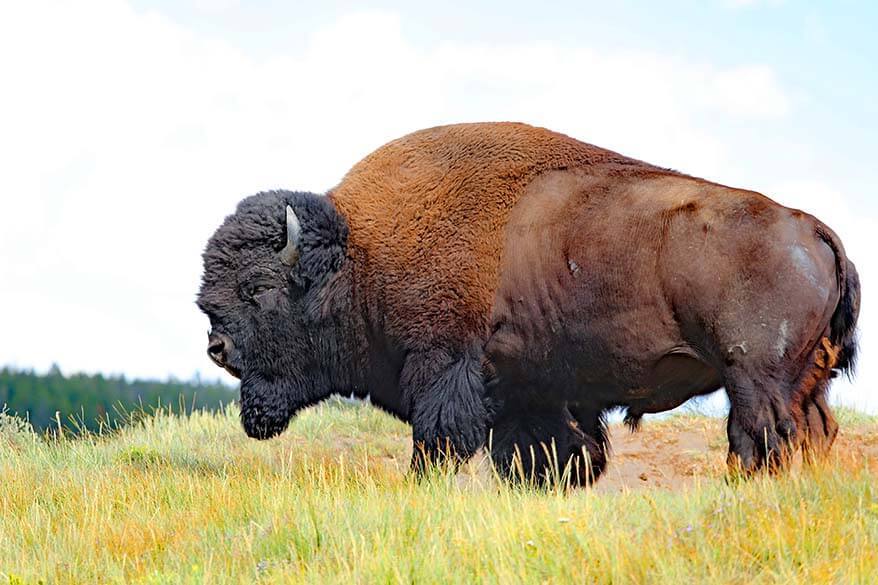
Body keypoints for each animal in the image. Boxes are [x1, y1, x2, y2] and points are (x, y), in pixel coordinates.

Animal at [198, 122, 860, 484]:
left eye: (258, 287)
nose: (217, 347)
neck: (360, 254)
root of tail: (811, 227)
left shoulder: (443, 367)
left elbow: (438, 440)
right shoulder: (528, 390)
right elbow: (547, 452)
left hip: (752, 375)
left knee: (759, 437)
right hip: (806, 378)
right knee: (814, 431)